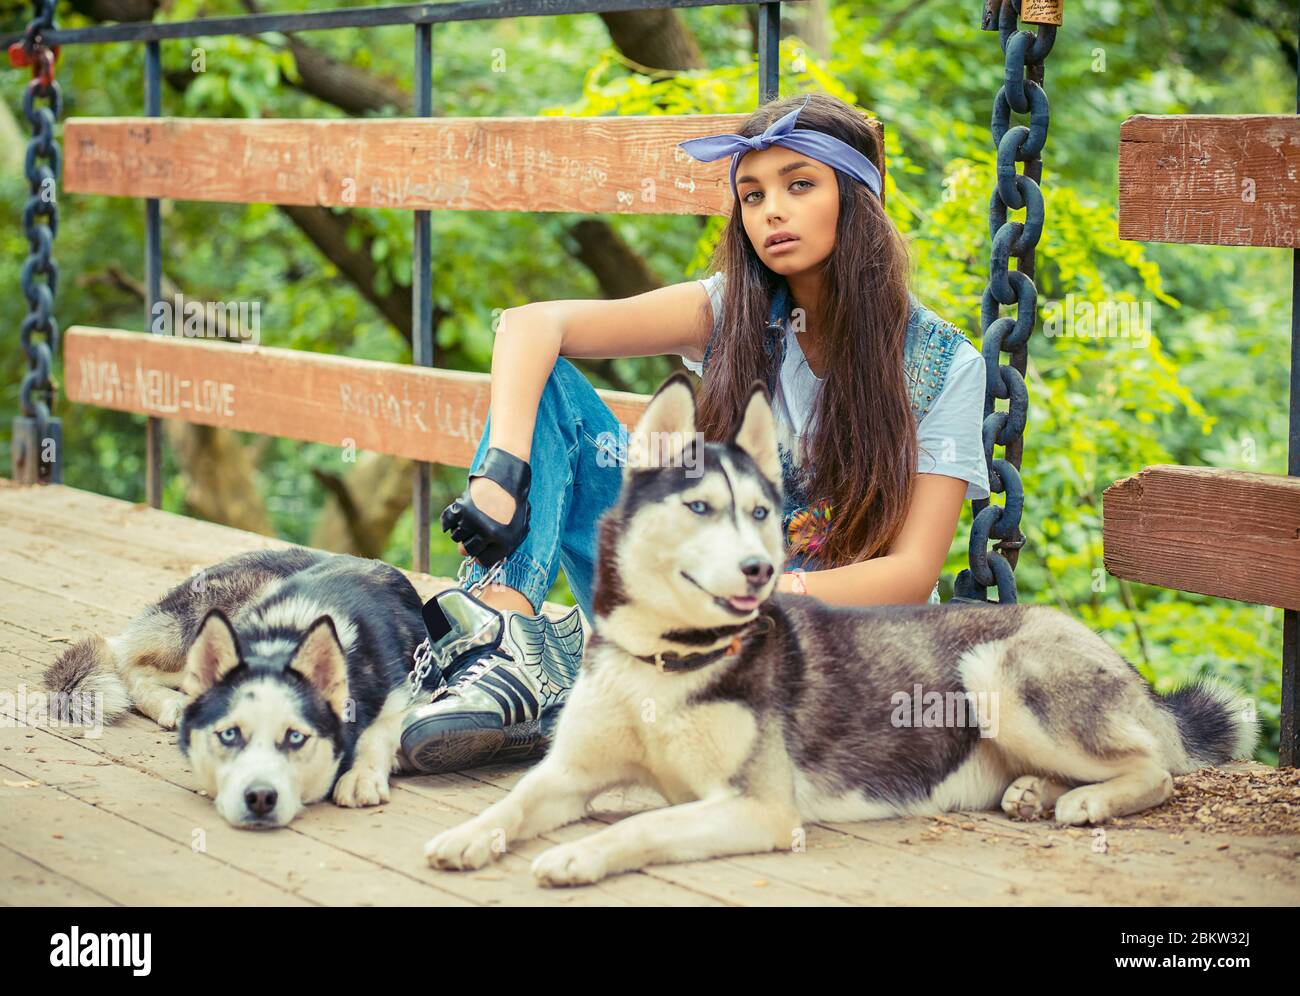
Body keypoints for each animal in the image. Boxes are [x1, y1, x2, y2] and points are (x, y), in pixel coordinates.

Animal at [44, 551, 431, 832]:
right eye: (231, 736)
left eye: (294, 738)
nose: (258, 798)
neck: (289, 634)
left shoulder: (419, 690)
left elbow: (380, 730)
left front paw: (361, 774)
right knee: (129, 662)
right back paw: (171, 703)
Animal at [426, 374, 1258, 889]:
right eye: (700, 508)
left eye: (760, 512)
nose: (761, 569)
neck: (666, 663)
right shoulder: (569, 772)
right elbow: (516, 800)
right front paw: (469, 834)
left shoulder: (757, 808)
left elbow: (641, 828)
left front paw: (581, 854)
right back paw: (1032, 791)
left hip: (995, 671)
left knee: (1159, 766)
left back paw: (1089, 800)